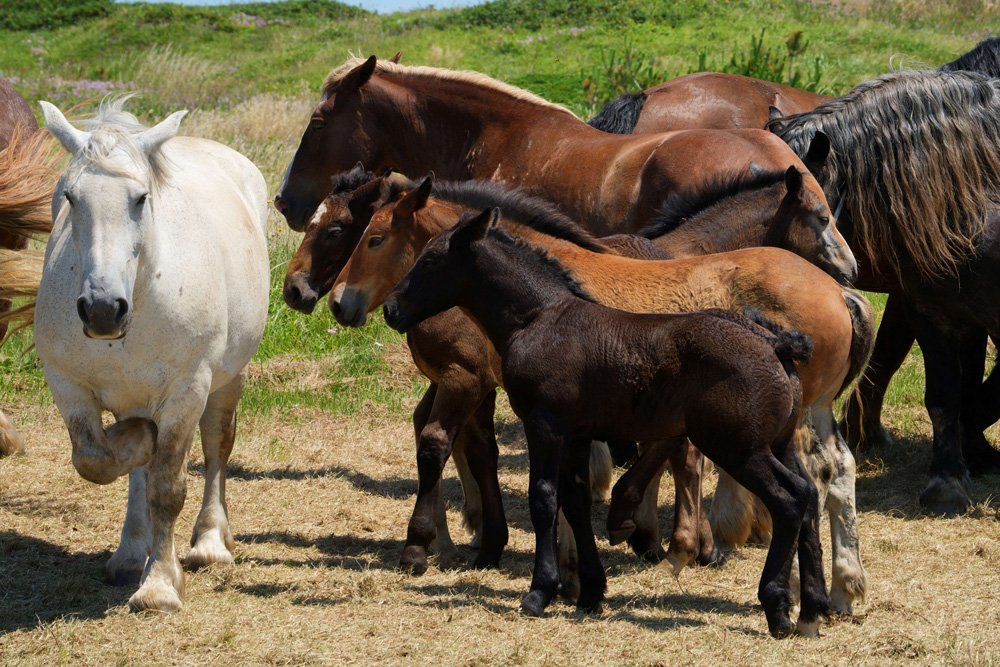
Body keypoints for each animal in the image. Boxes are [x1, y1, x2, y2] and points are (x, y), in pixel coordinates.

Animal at [34, 96, 270, 612]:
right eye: (69, 197)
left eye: (141, 198)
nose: (103, 309)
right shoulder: (67, 386)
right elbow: (96, 460)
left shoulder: (187, 389)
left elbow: (167, 486)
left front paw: (160, 585)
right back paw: (129, 553)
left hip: (228, 377)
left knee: (217, 445)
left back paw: (210, 543)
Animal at [330, 177, 876, 616]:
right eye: (360, 235)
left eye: (376, 239)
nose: (343, 303)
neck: (541, 309)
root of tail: (834, 297)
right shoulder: (530, 405)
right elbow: (551, 482)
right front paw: (583, 574)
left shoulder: (504, 397)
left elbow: (525, 481)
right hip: (796, 420)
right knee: (828, 476)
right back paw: (830, 595)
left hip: (755, 433)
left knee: (805, 487)